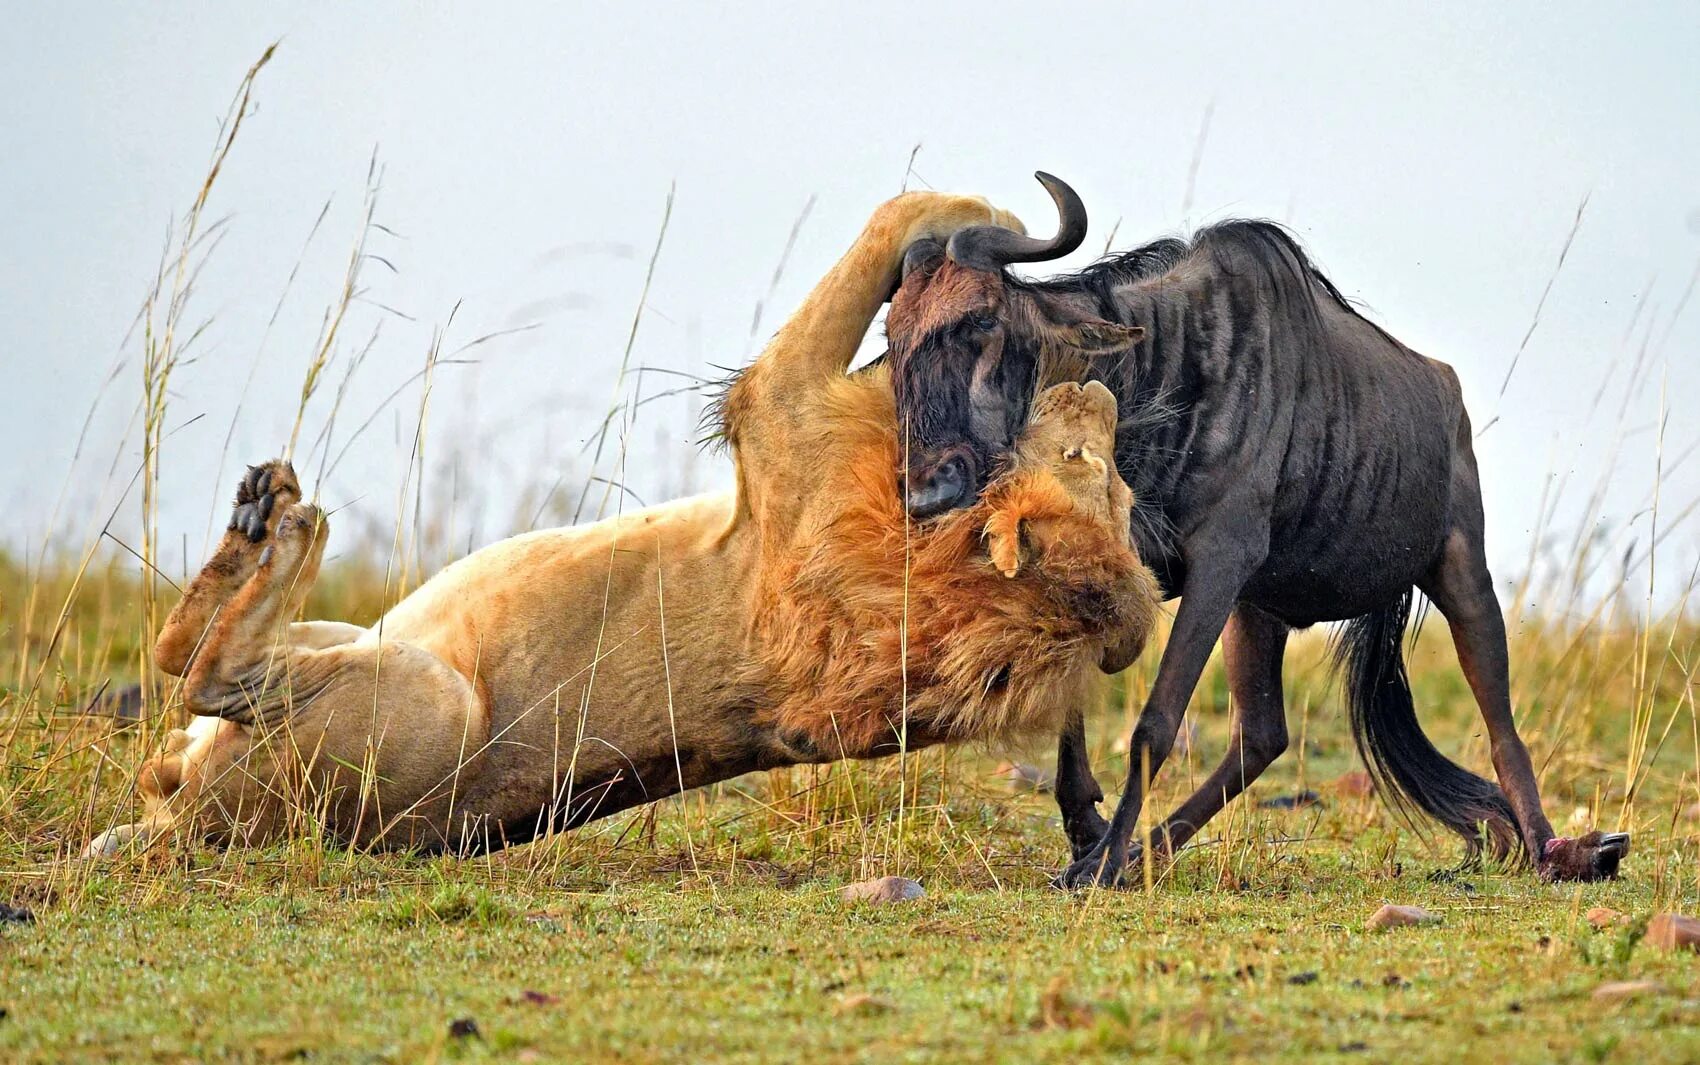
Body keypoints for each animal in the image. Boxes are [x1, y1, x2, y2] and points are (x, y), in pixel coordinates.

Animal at [86, 190, 1162, 854]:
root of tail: (191, 825)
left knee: (202, 669)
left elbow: (902, 206)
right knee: (179, 682)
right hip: (348, 637)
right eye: (1108, 485)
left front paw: (992, 228)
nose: (1102, 399)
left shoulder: (779, 407)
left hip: (429, 702)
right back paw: (255, 518)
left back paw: (281, 525)